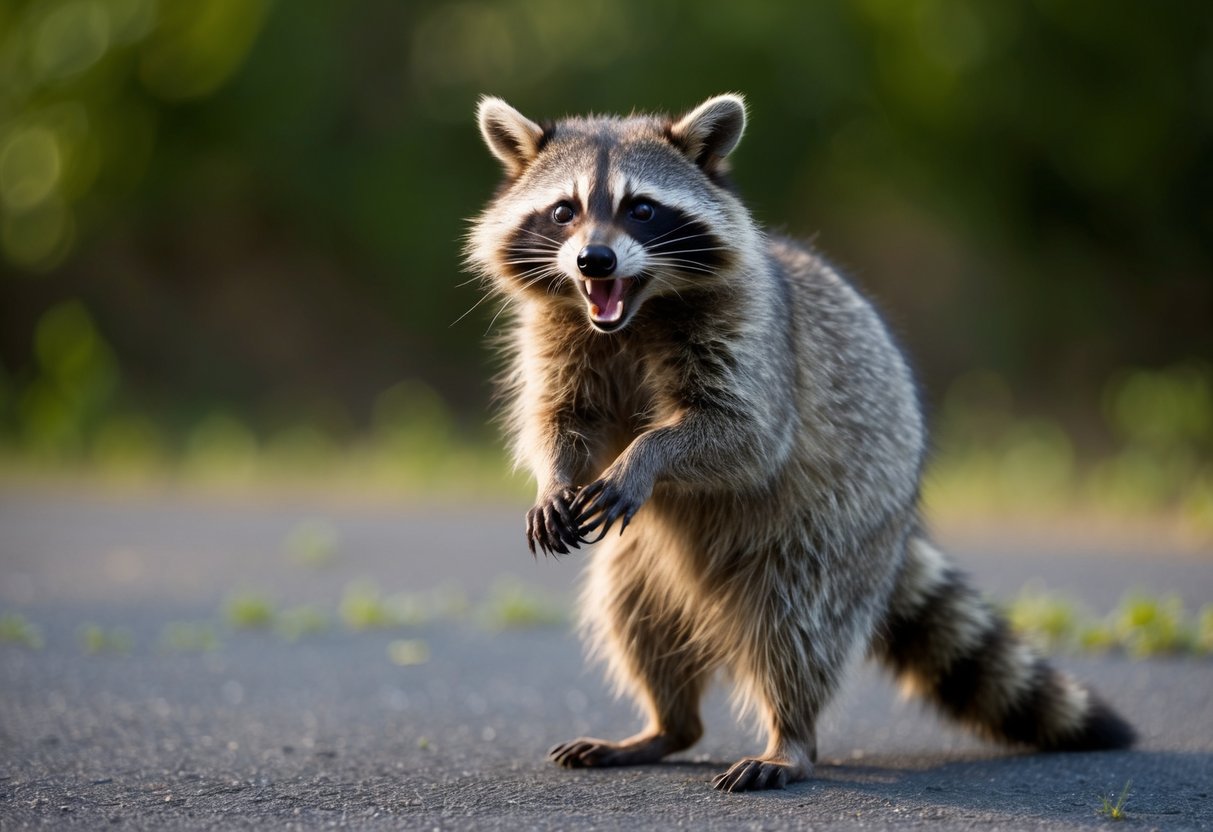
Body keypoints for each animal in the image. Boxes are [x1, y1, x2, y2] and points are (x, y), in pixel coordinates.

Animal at [465, 94, 1134, 792]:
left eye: (641, 209)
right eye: (563, 211)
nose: (593, 262)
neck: (635, 313)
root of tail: (901, 524)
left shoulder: (750, 338)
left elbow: (746, 436)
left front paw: (645, 455)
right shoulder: (556, 337)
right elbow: (559, 419)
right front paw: (553, 477)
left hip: (831, 533)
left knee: (795, 629)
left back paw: (790, 734)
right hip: (646, 561)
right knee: (637, 618)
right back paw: (667, 726)